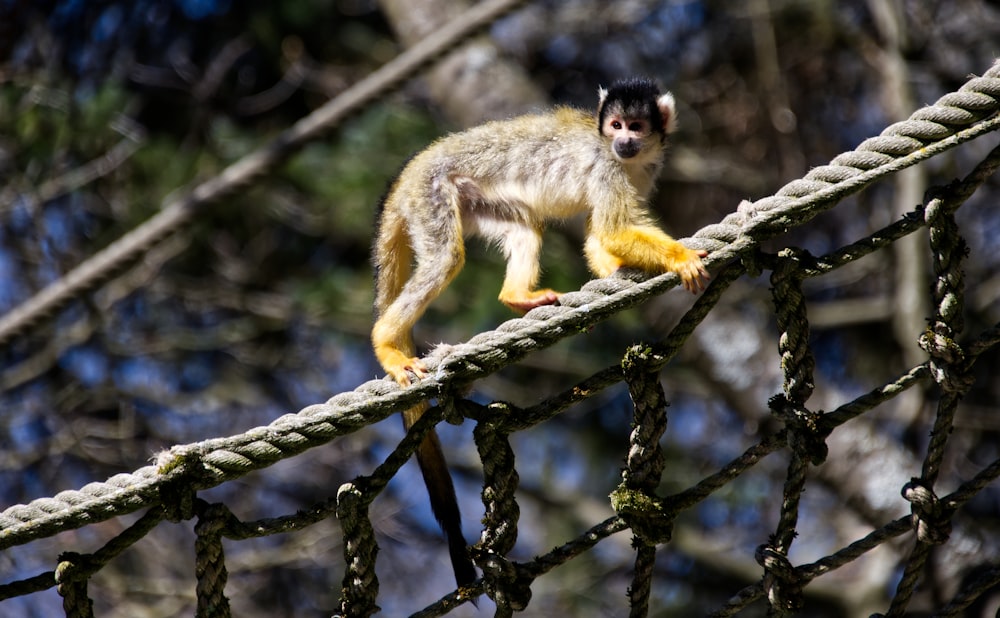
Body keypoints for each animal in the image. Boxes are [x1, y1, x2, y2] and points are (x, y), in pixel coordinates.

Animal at [372, 77, 708, 588]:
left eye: (636, 126)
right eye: (615, 126)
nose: (624, 142)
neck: (627, 158)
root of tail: (407, 174)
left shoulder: (640, 168)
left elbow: (600, 235)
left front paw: (617, 274)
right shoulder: (607, 164)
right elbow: (612, 228)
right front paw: (679, 258)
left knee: (523, 225)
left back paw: (517, 298)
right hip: (430, 195)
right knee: (445, 257)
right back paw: (387, 344)